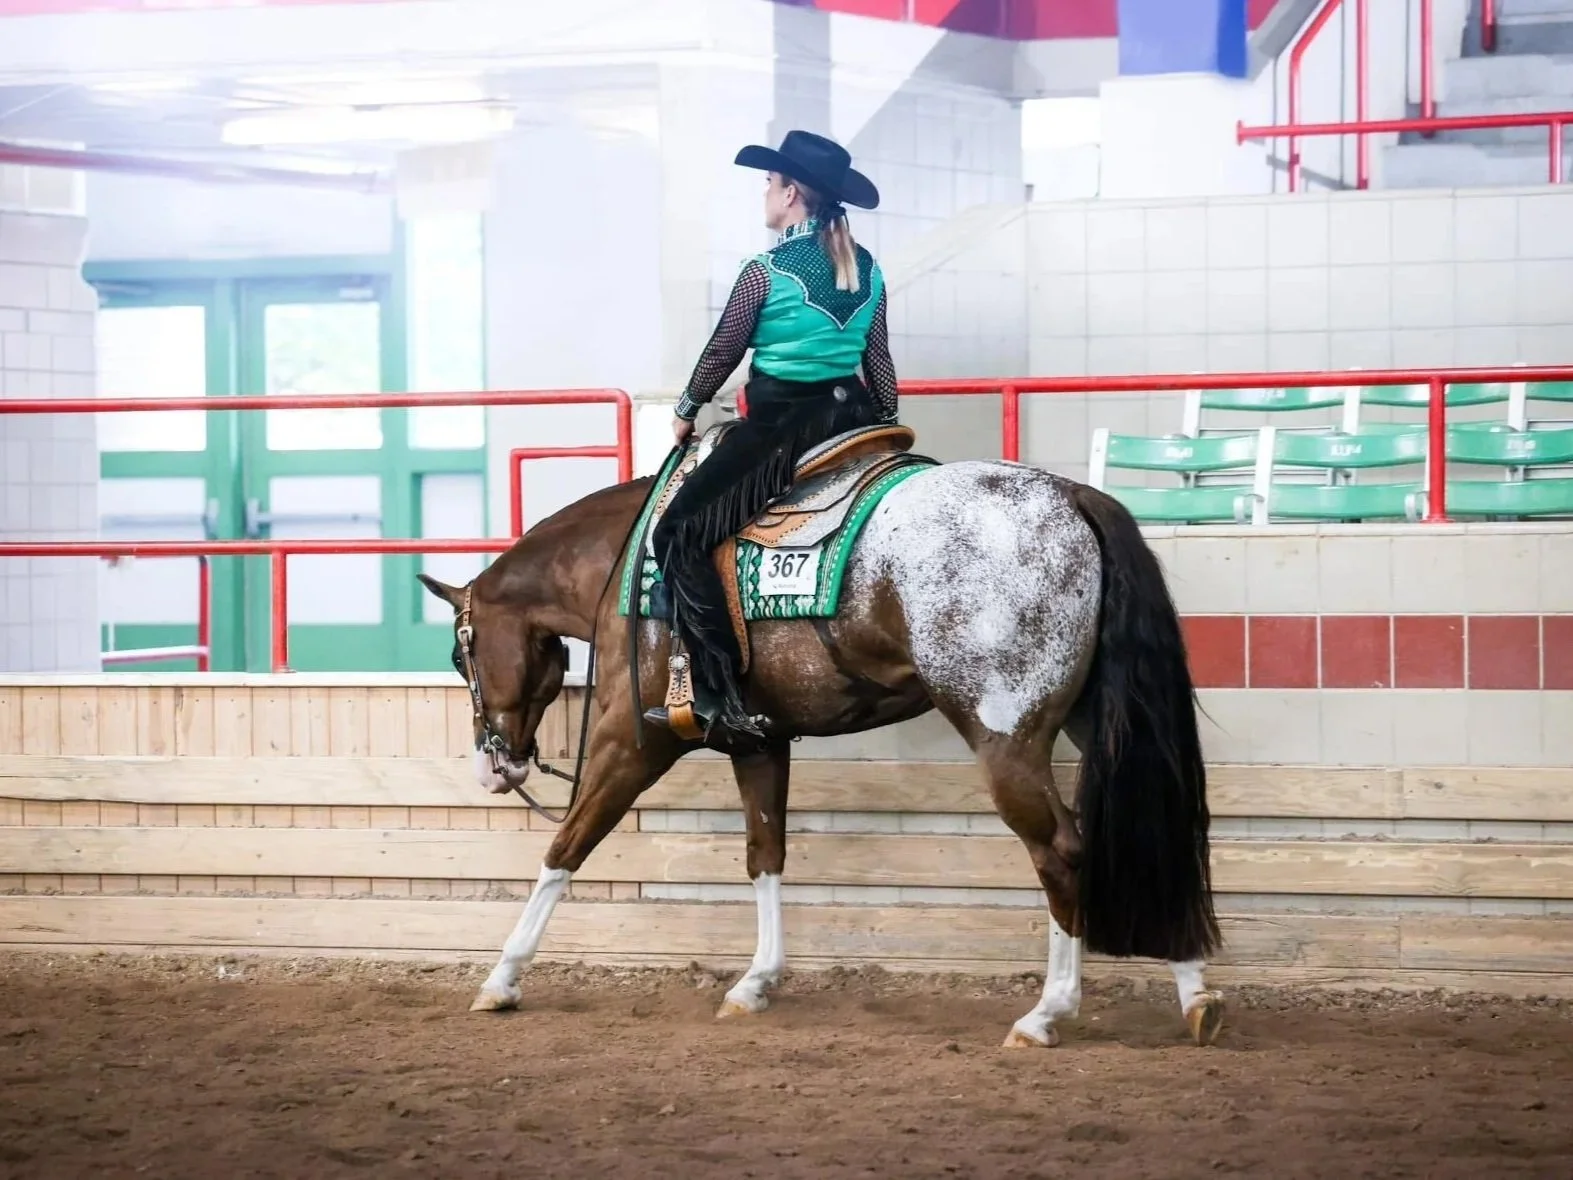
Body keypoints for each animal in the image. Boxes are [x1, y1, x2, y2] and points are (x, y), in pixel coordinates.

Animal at [417, 431, 1225, 1049]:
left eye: (460, 654)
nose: (494, 765)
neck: (629, 563)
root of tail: (1072, 497)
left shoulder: (631, 744)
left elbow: (565, 849)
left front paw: (501, 977)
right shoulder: (758, 742)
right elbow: (765, 855)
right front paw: (755, 983)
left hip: (1006, 738)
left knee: (1062, 850)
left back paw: (1046, 1013)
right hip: (1095, 723)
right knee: (1150, 832)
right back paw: (1195, 997)